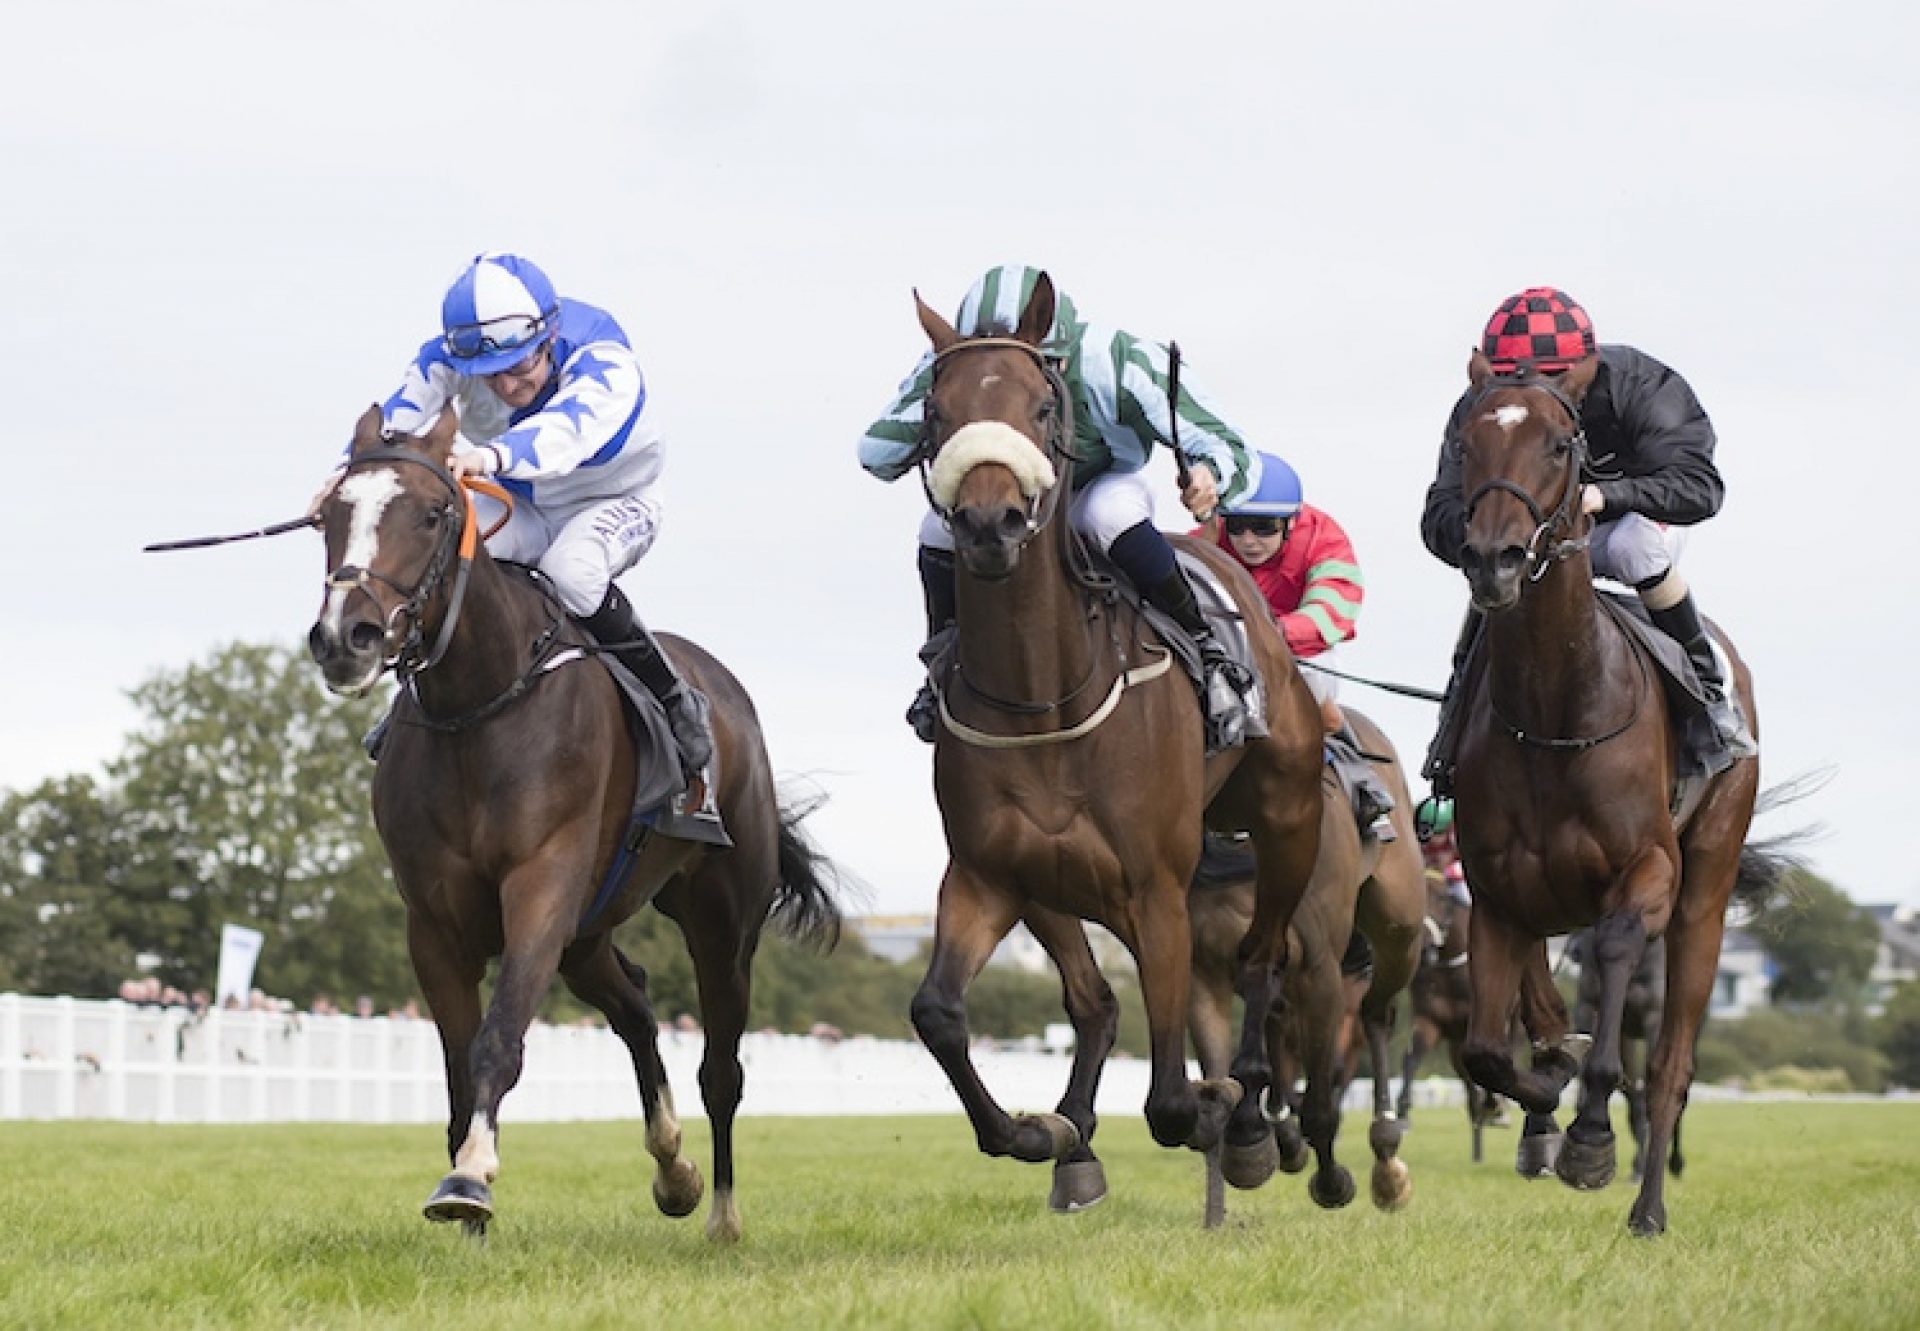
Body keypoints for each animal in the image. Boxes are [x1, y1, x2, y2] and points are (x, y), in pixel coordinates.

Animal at [307, 401, 840, 1236]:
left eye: (430, 512)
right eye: (329, 515)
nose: (343, 636)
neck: (479, 704)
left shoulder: (541, 888)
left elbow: (499, 1040)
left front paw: (471, 1178)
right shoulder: (433, 921)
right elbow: (458, 1065)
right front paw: (469, 1212)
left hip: (722, 922)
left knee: (721, 1067)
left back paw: (721, 1212)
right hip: (589, 935)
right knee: (637, 1006)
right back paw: (674, 1169)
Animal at [906, 272, 1328, 1206]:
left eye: (1040, 405)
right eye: (936, 409)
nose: (987, 522)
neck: (1042, 700)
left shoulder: (1156, 889)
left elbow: (1171, 1100)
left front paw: (1222, 1112)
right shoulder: (989, 873)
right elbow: (939, 1012)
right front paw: (1035, 1130)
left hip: (1288, 818)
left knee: (1262, 957)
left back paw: (1249, 1118)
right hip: (1052, 883)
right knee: (1096, 998)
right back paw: (1076, 1137)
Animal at [1182, 706, 1428, 1221]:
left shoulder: (1320, 972)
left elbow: (1320, 1104)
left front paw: (1332, 1181)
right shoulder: (1205, 970)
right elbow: (1218, 1079)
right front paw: (1217, 1211)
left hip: (1400, 927)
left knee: (1377, 1013)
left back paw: (1385, 1151)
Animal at [1451, 349, 1781, 1236]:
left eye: (1561, 444)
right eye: (1465, 442)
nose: (1493, 558)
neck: (1556, 709)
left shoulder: (1649, 871)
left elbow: (1616, 958)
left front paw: (1590, 1135)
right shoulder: (1498, 896)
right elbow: (1486, 1048)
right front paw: (1547, 1086)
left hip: (1708, 883)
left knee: (1670, 1065)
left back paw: (1648, 1206)